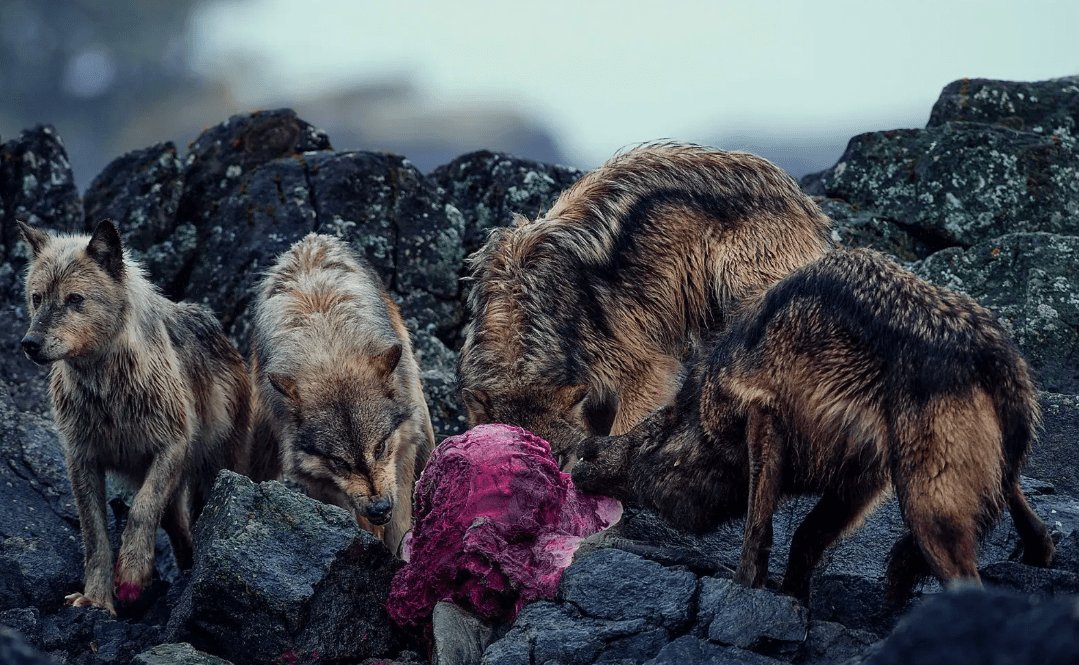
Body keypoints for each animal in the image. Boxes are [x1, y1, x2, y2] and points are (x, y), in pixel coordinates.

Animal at [16, 221, 252, 617]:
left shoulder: (172, 447)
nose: (29, 344)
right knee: (178, 528)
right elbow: (94, 536)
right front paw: (97, 599)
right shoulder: (82, 461)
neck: (107, 392)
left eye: (74, 299)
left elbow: (141, 509)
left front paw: (131, 576)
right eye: (36, 298)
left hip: (213, 476)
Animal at [248, 231, 433, 552]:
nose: (379, 508)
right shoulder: (322, 484)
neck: (328, 345)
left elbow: (399, 527)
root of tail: (311, 240)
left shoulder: (402, 455)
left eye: (380, 447)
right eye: (339, 462)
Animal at [574, 248, 1053, 604]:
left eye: (650, 434)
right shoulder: (862, 478)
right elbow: (804, 537)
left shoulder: (763, 417)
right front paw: (792, 597)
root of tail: (992, 356)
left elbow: (758, 527)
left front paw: (745, 589)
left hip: (928, 507)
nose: (582, 453)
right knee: (1029, 518)